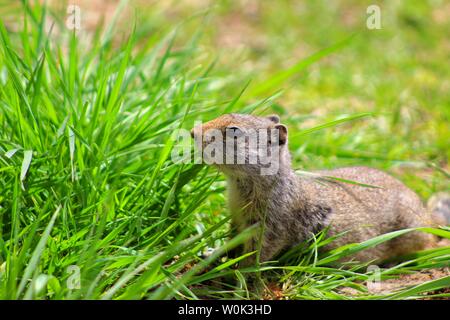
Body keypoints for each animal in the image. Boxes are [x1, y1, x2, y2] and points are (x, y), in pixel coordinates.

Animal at [192, 114, 450, 264]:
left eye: (234, 131)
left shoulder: (272, 227)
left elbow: (256, 256)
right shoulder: (237, 220)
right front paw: (212, 257)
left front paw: (237, 277)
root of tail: (426, 214)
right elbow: (231, 243)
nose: (193, 132)